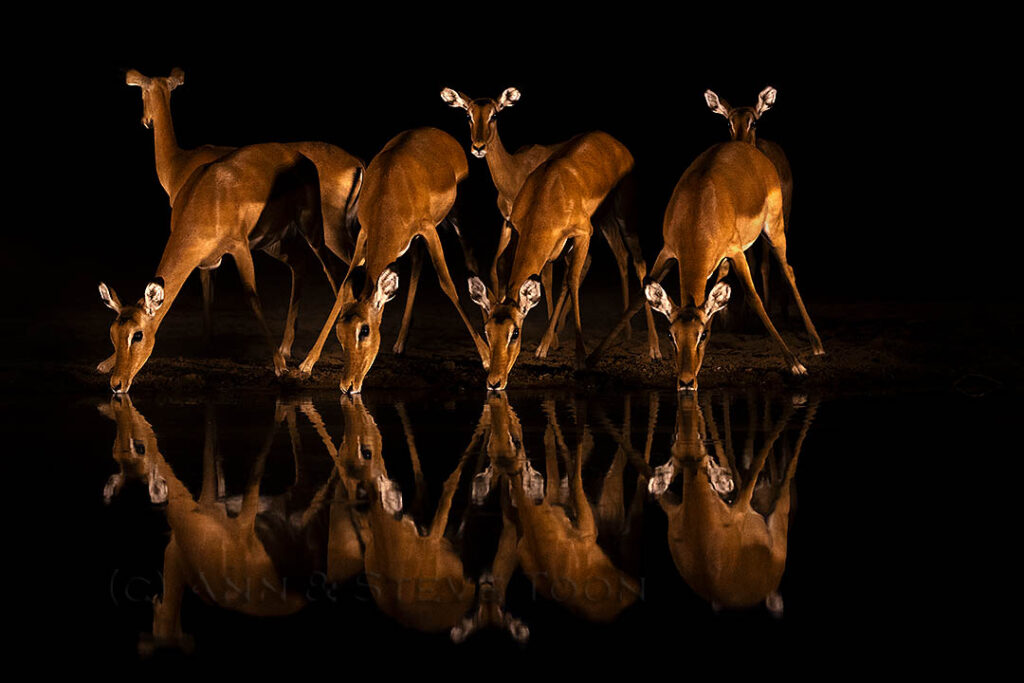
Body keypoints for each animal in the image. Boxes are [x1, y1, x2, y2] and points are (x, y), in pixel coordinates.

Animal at [98, 143, 333, 393]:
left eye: (138, 335)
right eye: (113, 333)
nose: (117, 384)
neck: (207, 200)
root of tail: (299, 156)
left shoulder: (239, 247)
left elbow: (253, 299)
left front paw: (280, 367)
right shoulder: (209, 261)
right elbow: (206, 296)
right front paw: (105, 364)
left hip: (312, 230)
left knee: (337, 278)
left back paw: (307, 364)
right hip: (274, 242)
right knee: (300, 264)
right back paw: (289, 351)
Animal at [124, 68, 363, 342]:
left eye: (143, 91)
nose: (146, 120)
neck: (179, 165)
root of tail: (357, 163)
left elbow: (206, 284)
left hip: (329, 233)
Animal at [296, 128, 490, 393]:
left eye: (364, 331)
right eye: (340, 331)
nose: (347, 385)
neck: (388, 193)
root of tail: (440, 134)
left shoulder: (429, 229)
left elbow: (447, 285)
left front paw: (486, 357)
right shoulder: (365, 234)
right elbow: (344, 289)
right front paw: (306, 363)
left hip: (457, 215)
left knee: (470, 256)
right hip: (414, 240)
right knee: (418, 260)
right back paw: (400, 343)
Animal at [467, 131, 658, 391]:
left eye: (515, 333)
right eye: (487, 330)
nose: (494, 381)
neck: (548, 194)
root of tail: (613, 142)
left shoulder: (583, 233)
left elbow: (573, 281)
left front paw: (580, 360)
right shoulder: (528, 236)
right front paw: (543, 348)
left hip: (624, 219)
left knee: (639, 264)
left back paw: (654, 349)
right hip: (602, 223)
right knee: (617, 257)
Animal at [648, 393, 817, 614]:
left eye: (703, 457)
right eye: (674, 454)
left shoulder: (741, 507)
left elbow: (758, 460)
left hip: (781, 517)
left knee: (787, 466)